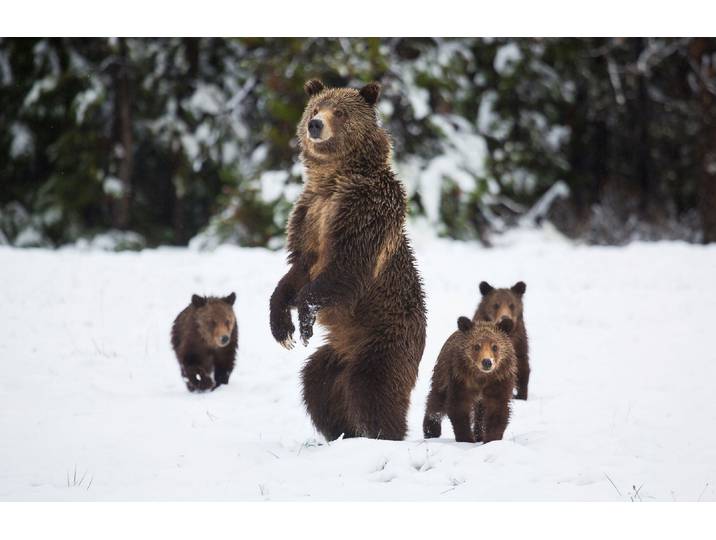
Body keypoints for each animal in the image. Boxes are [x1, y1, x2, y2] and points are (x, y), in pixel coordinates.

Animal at [269, 79, 427, 441]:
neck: (333, 179)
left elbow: (346, 267)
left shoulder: (362, 213)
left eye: (340, 112)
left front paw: (304, 318)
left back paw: (383, 435)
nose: (315, 125)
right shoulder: (309, 215)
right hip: (336, 353)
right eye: (316, 108)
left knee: (371, 390)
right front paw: (282, 328)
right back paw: (341, 433)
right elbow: (297, 269)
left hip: (383, 341)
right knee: (316, 385)